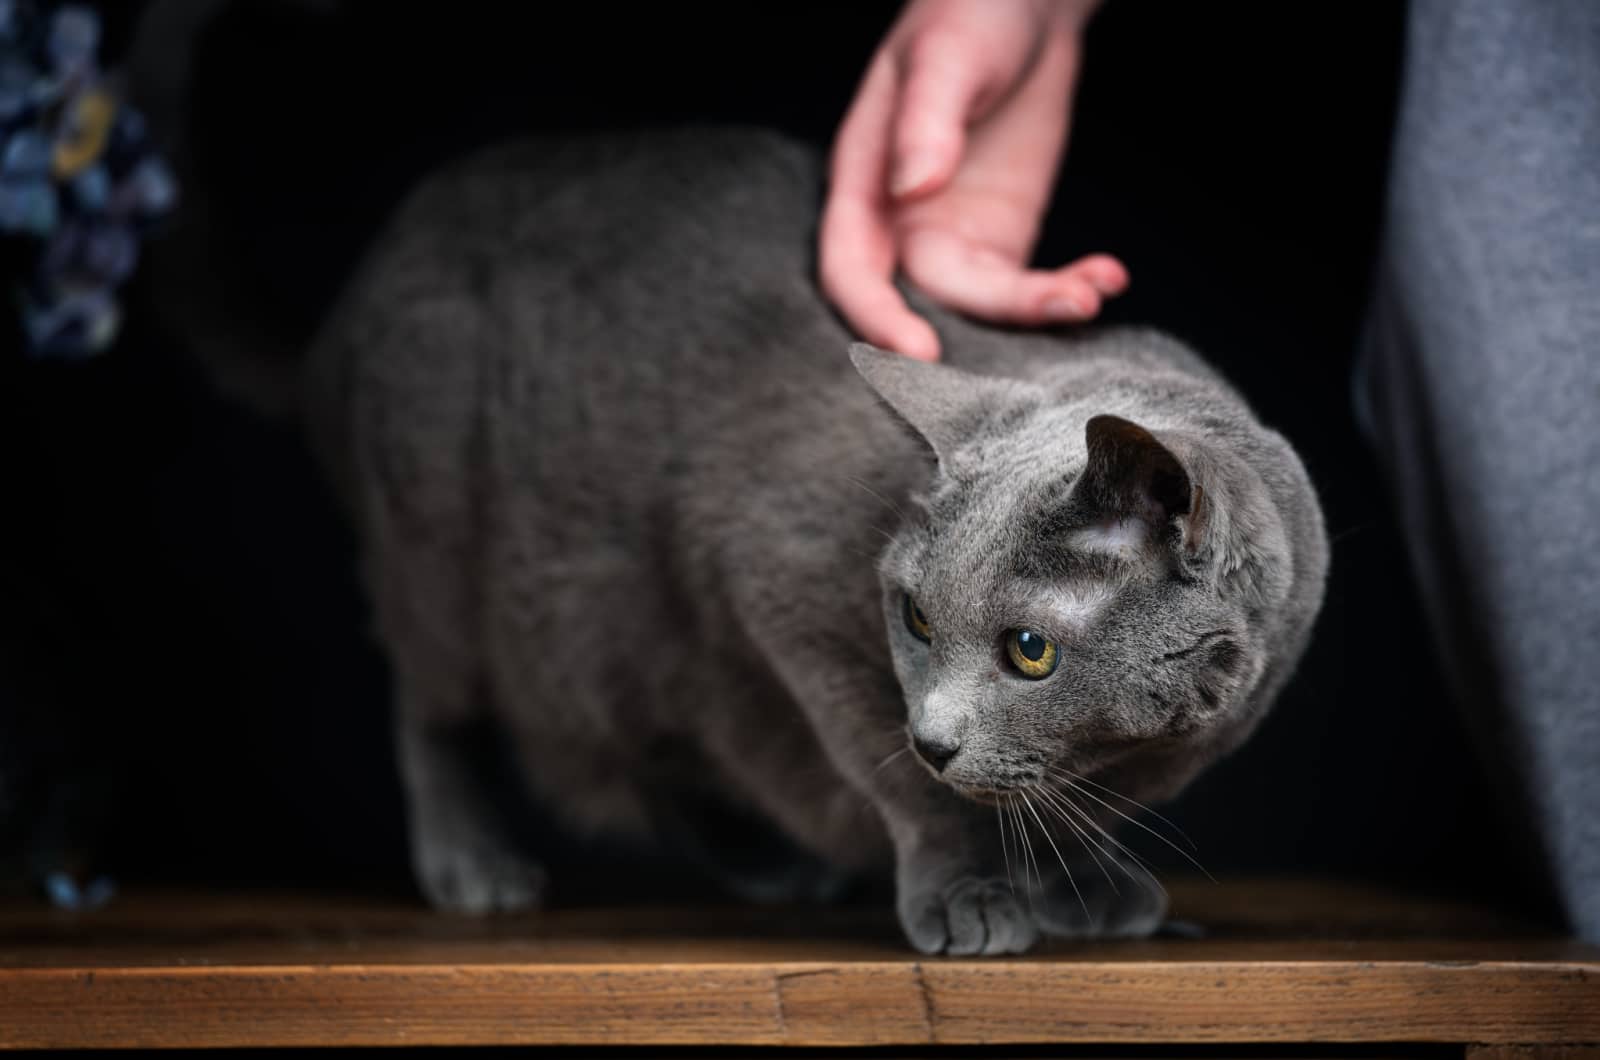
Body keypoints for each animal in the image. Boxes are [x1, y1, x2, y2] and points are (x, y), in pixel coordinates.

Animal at [305, 128, 1331, 960]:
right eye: (916, 619)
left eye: (1031, 651)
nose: (934, 740)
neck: (1132, 749)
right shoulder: (781, 585)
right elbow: (903, 779)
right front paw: (970, 893)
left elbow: (1065, 806)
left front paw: (1083, 882)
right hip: (446, 555)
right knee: (429, 703)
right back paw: (472, 866)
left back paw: (773, 866)